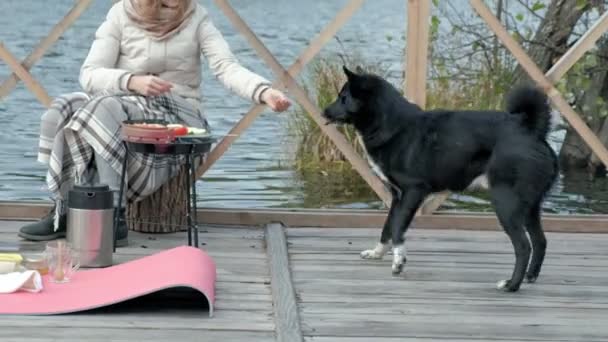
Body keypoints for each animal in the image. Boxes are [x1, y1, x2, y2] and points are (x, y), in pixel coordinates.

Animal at [324, 66, 560, 292]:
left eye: (343, 97)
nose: (324, 111)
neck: (391, 124)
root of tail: (530, 129)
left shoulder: (413, 191)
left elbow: (398, 227)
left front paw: (399, 262)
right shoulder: (396, 196)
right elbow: (387, 227)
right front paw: (377, 252)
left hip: (506, 203)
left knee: (523, 246)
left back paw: (511, 285)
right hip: (529, 206)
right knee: (540, 241)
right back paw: (530, 276)